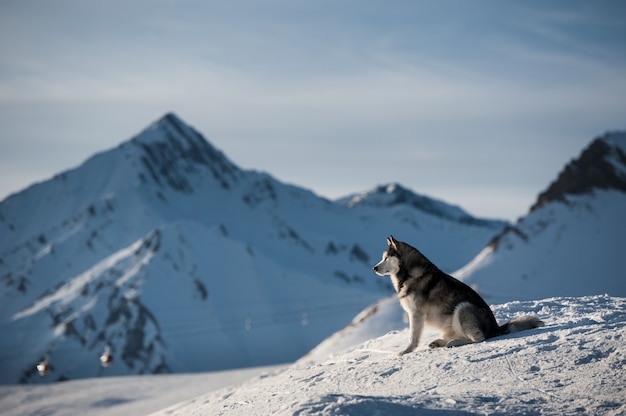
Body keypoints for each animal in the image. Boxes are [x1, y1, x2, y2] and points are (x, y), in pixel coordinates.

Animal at [370, 236, 540, 356]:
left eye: (386, 257)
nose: (374, 268)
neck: (408, 274)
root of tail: (496, 328)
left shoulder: (416, 314)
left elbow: (412, 337)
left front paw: (406, 351)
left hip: (463, 307)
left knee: (478, 339)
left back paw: (453, 342)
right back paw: (439, 342)